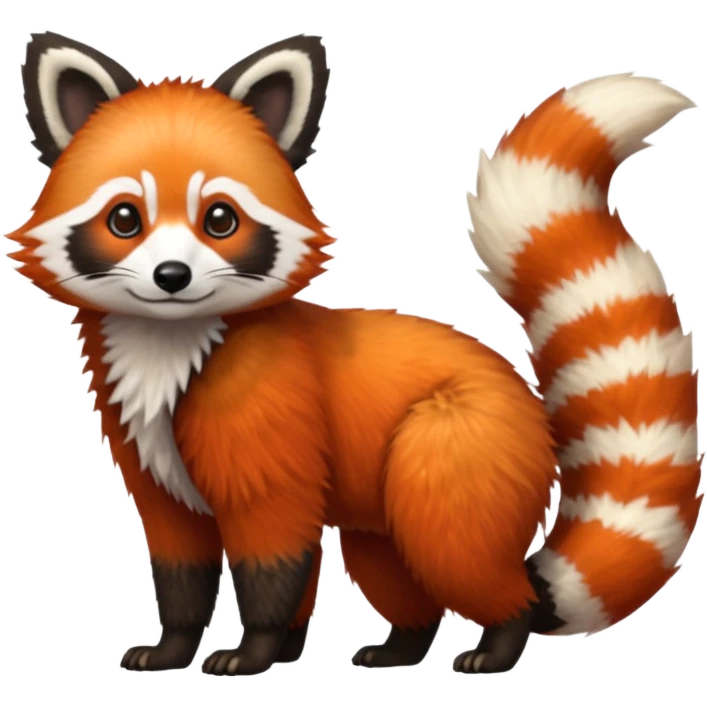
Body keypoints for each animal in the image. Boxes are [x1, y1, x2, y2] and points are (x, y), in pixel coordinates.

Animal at [6, 30, 703, 677]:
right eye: (124, 219)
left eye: (221, 220)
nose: (171, 276)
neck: (169, 345)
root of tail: (530, 407)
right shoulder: (151, 457)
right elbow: (183, 558)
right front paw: (184, 646)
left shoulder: (273, 420)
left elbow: (274, 546)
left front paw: (255, 649)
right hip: (385, 499)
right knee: (388, 563)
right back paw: (403, 645)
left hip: (455, 448)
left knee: (460, 553)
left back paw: (502, 638)